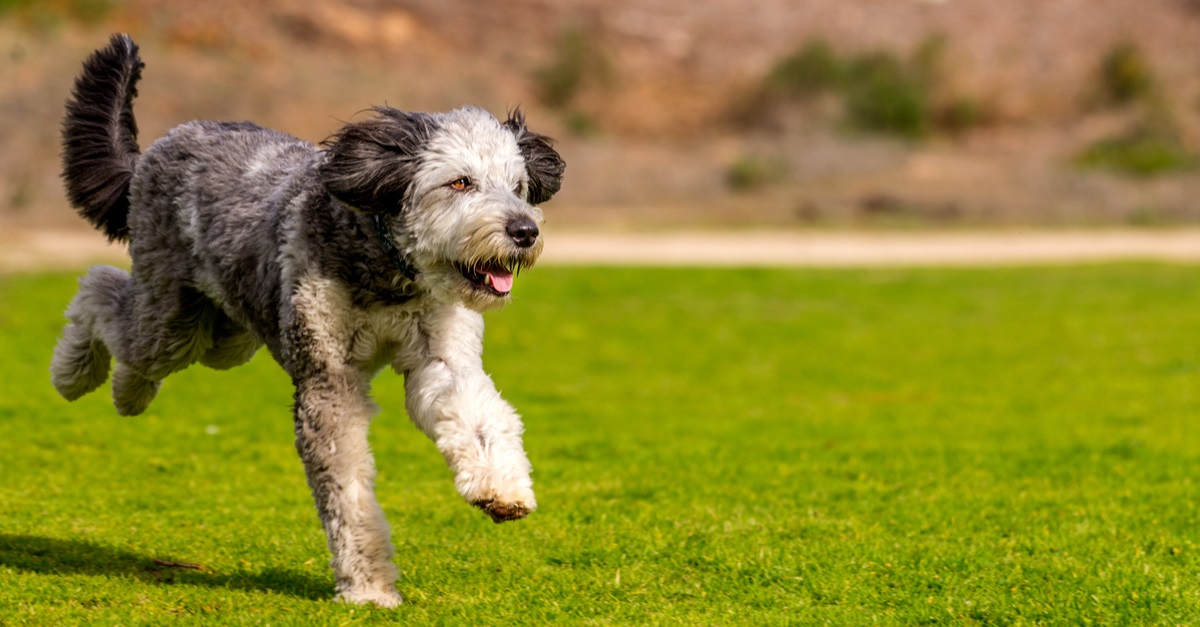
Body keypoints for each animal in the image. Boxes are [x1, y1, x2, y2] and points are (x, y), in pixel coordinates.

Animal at [49, 34, 564, 605]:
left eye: (517, 186)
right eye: (460, 183)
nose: (524, 231)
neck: (385, 268)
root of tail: (153, 154)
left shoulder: (442, 357)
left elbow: (479, 416)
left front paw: (502, 488)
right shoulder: (328, 381)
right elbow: (348, 490)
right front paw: (367, 586)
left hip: (226, 334)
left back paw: (124, 390)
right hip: (172, 320)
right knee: (99, 291)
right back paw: (79, 375)